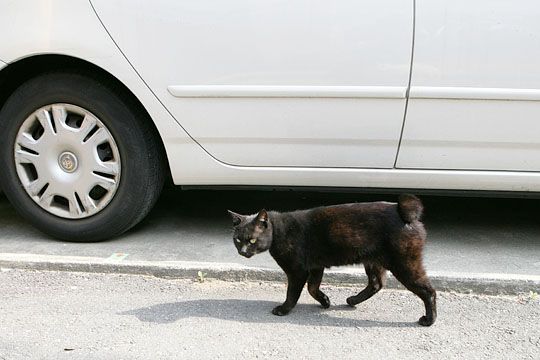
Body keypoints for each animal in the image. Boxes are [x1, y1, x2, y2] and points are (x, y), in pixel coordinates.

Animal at [230, 194, 436, 326]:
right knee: (376, 284)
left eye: (252, 240)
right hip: (373, 262)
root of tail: (404, 212)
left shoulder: (297, 271)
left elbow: (293, 293)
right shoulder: (315, 267)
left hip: (404, 264)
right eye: (237, 240)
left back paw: (429, 320)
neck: (279, 230)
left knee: (429, 291)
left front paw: (284, 309)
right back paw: (353, 300)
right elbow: (312, 288)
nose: (242, 251)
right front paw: (325, 301)